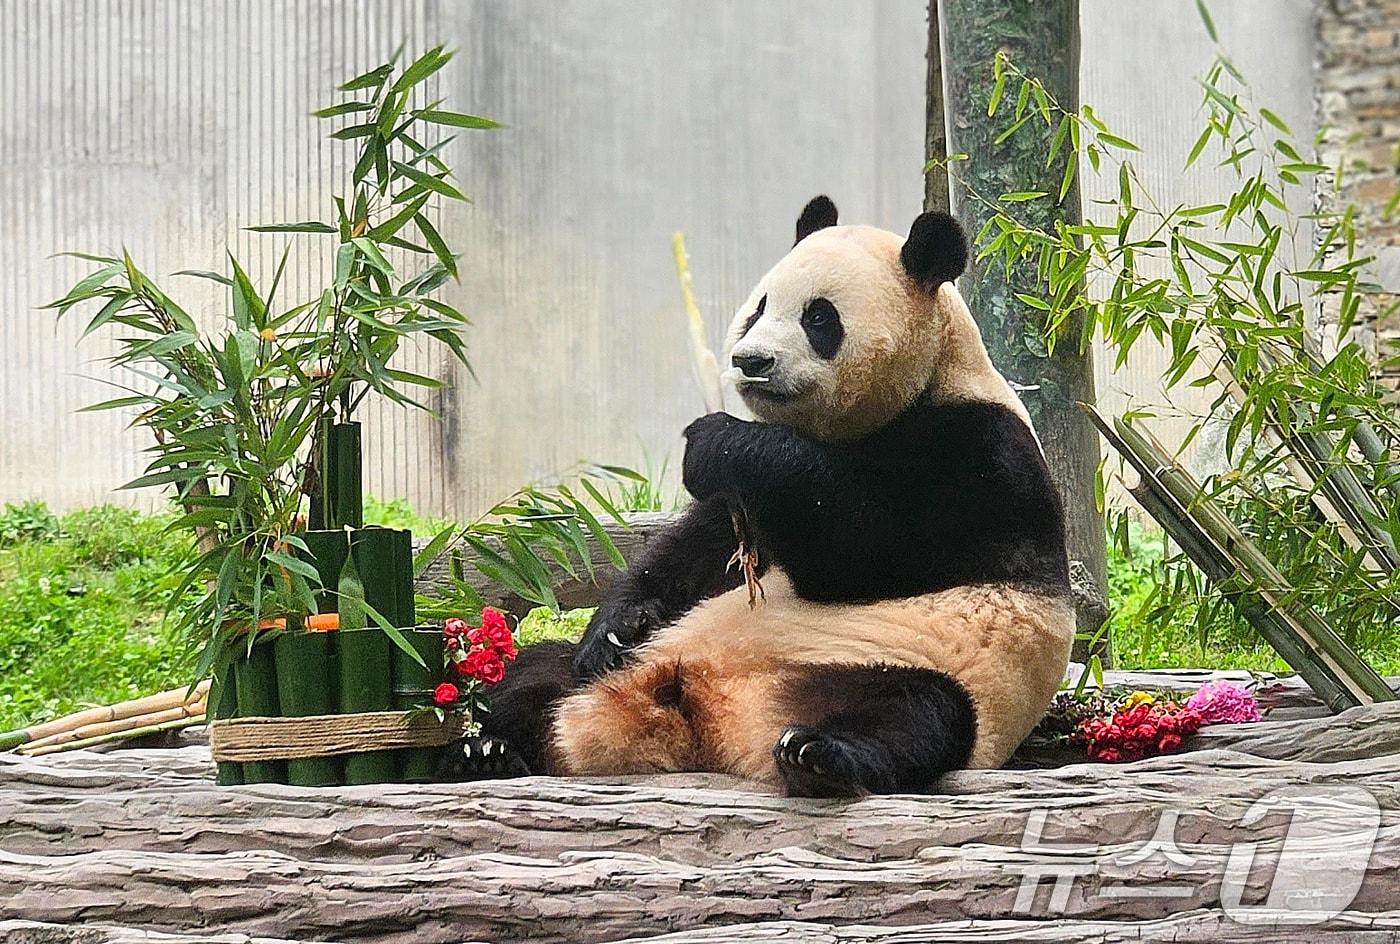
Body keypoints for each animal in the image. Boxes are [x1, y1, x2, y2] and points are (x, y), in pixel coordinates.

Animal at [448, 196, 1069, 795]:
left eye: (819, 317)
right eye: (760, 307)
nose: (751, 360)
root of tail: (703, 718)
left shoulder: (981, 455)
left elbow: (866, 552)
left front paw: (717, 440)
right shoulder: (742, 508)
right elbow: (692, 553)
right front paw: (618, 625)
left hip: (913, 670)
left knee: (919, 713)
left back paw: (818, 756)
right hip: (614, 670)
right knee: (532, 673)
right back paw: (488, 751)